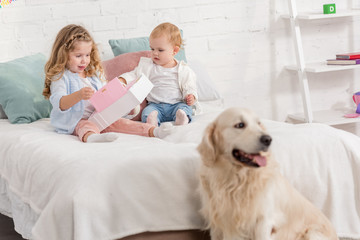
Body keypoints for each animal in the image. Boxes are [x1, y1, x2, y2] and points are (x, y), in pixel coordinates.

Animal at [197, 108, 338, 239]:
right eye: (240, 125)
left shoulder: (263, 221)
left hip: (312, 233)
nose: (268, 139)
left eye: (259, 123)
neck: (236, 180)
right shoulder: (217, 223)